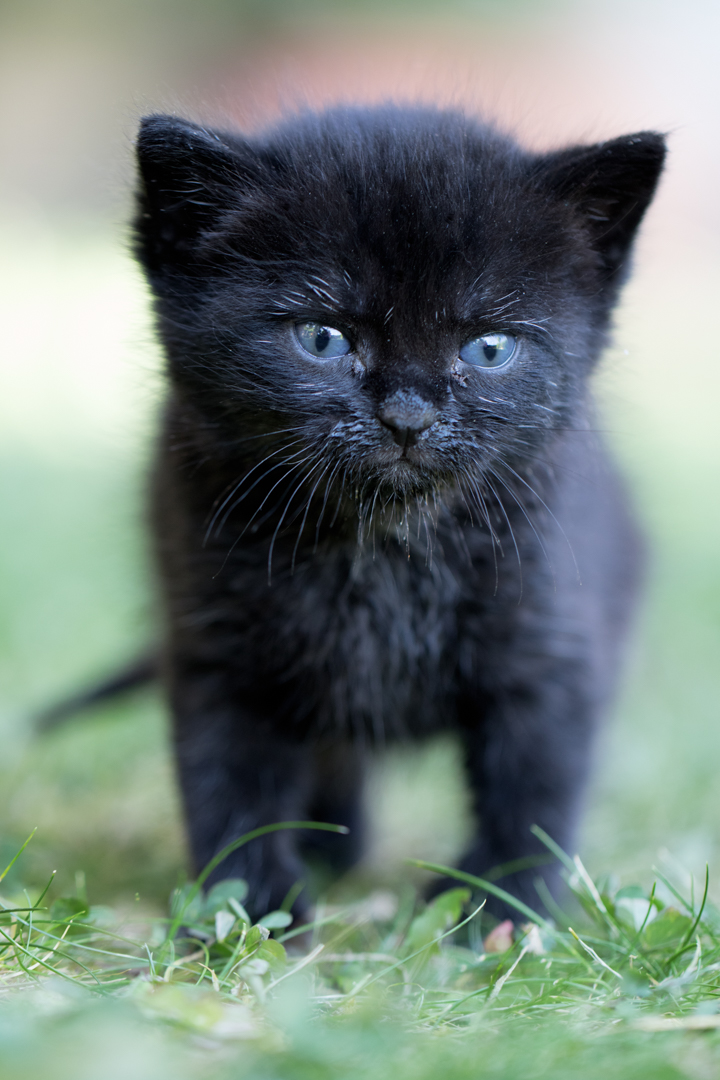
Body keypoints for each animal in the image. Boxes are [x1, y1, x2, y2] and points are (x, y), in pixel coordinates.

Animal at [134, 107, 664, 920]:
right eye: (322, 337)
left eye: (489, 347)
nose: (408, 416)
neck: (381, 546)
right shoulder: (212, 642)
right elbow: (227, 782)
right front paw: (247, 904)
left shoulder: (551, 640)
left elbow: (533, 786)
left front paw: (501, 907)